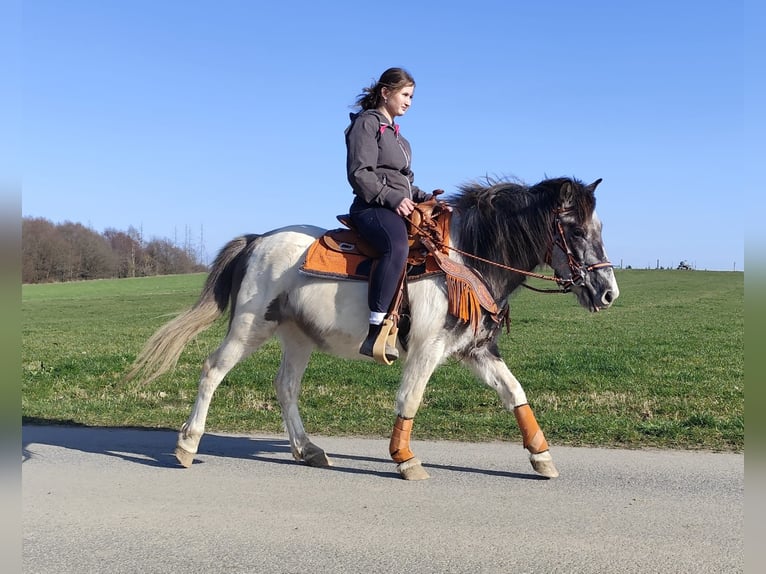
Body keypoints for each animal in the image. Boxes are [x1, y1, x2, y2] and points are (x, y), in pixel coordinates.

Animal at [126, 176, 619, 480]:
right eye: (575, 230)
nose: (608, 293)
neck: (466, 260)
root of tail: (257, 240)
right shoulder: (426, 349)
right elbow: (410, 399)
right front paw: (405, 460)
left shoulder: (476, 350)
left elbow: (515, 393)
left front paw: (542, 456)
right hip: (250, 327)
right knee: (212, 370)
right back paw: (187, 445)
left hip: (297, 337)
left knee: (285, 387)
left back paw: (308, 450)